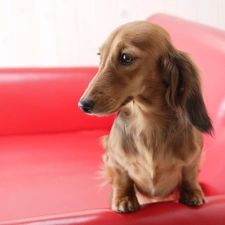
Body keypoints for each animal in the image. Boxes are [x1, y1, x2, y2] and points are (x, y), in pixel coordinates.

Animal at [78, 21, 213, 213]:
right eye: (100, 56)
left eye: (126, 57)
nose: (83, 105)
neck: (147, 121)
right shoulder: (114, 160)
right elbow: (122, 179)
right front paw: (125, 198)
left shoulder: (193, 158)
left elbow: (189, 175)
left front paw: (192, 192)